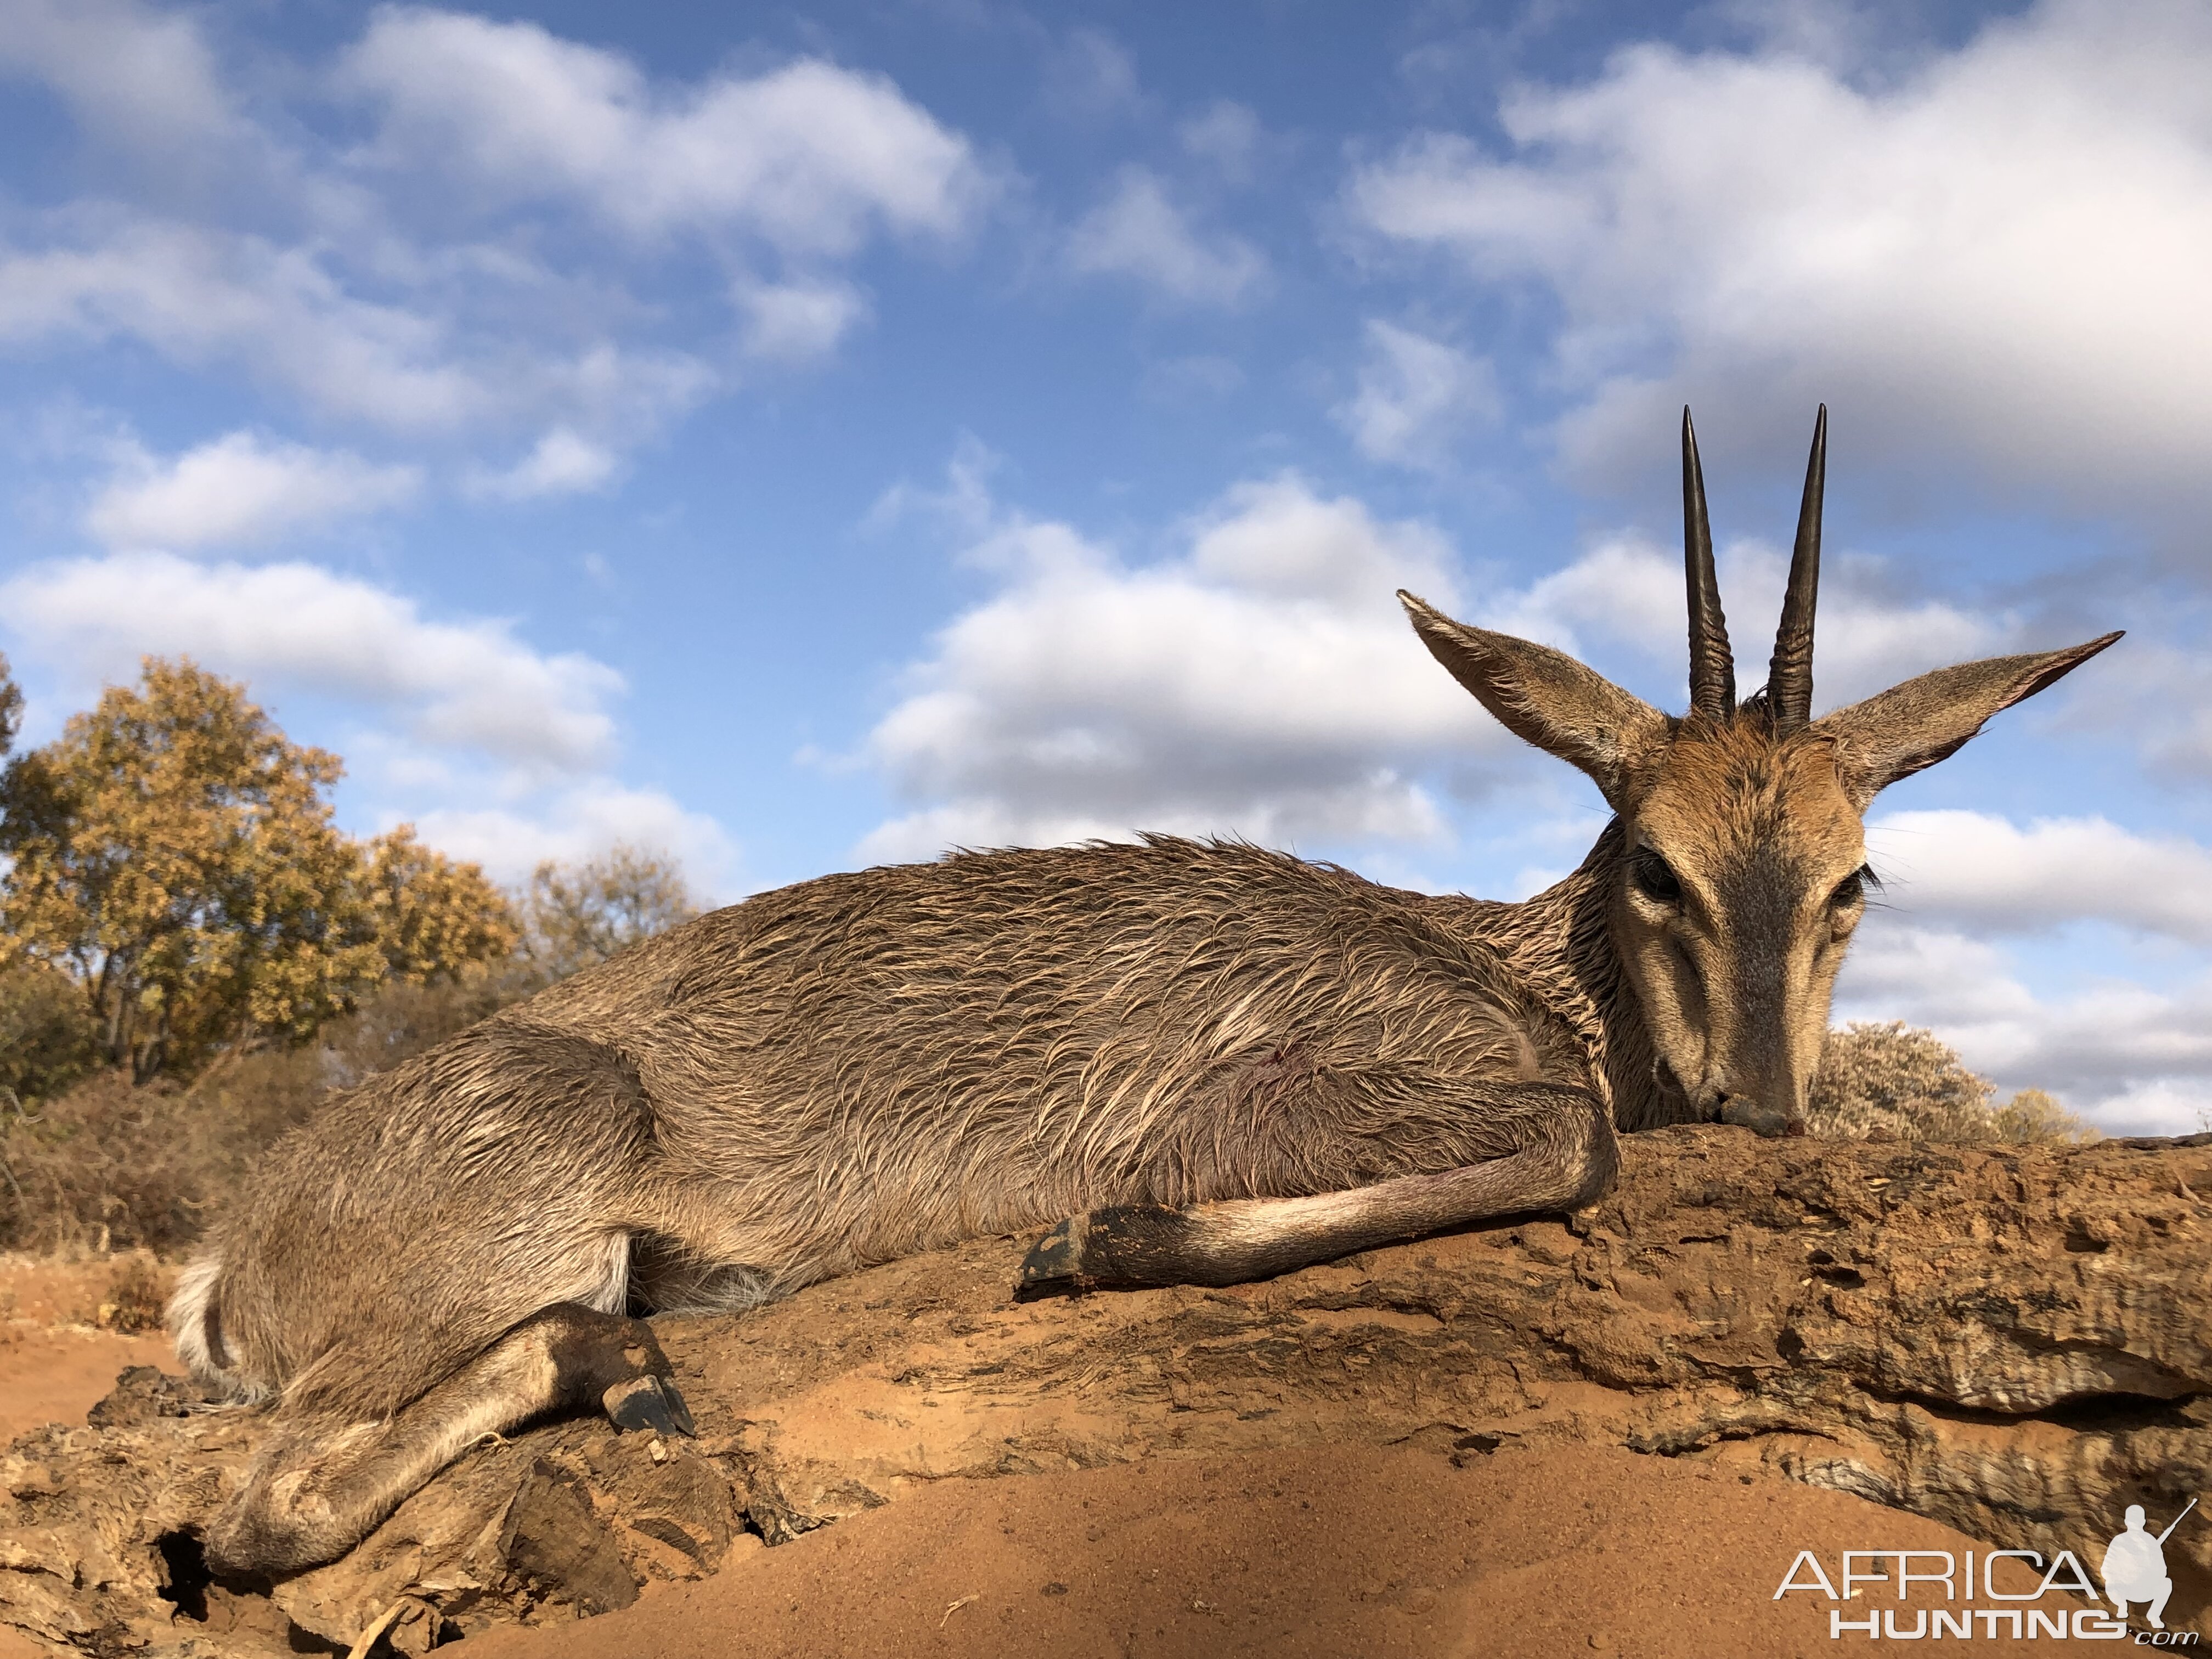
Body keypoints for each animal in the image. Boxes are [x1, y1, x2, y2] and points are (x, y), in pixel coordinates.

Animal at [168, 413, 2106, 1575]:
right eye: (1654, 864)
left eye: (1854, 880)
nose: (1758, 1108)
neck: (1507, 967)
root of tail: (241, 1240)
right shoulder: (1270, 1101)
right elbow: (1576, 1143)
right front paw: (1092, 1240)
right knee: (265, 1509)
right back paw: (628, 1371)